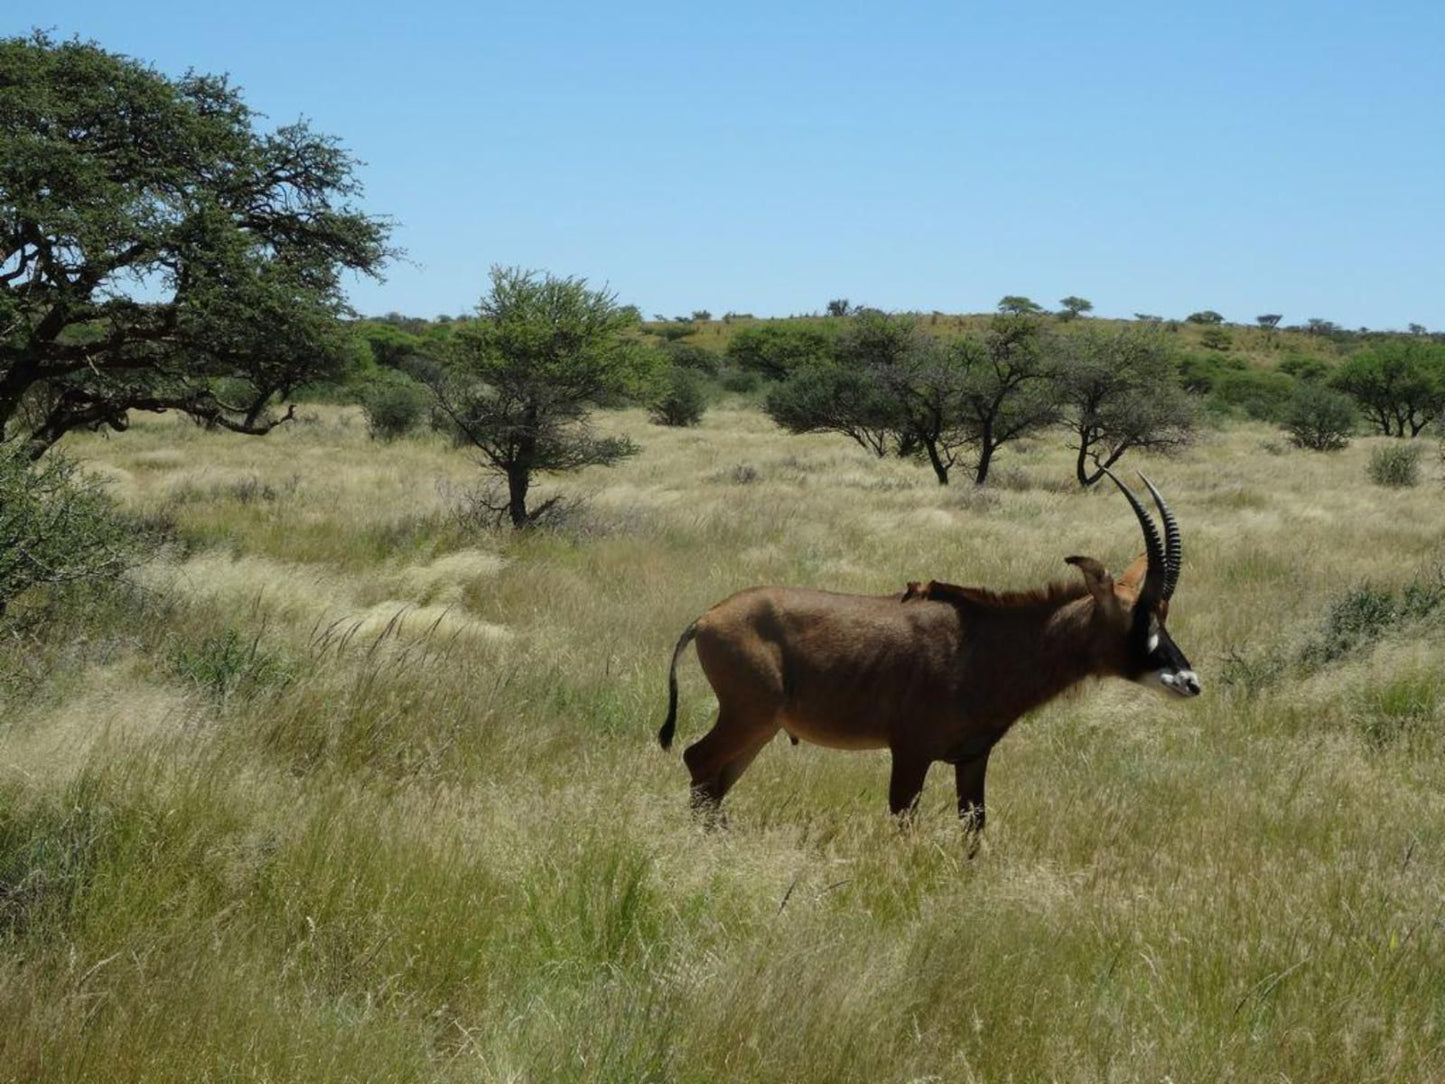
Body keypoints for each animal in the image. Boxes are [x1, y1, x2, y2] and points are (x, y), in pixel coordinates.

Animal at [658, 471, 1196, 838]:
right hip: (748, 717)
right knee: (698, 760)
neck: (988, 643)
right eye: (1139, 617)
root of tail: (706, 618)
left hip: (761, 729)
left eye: (1164, 613)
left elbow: (974, 826)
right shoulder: (910, 752)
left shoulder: (972, 759)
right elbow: (904, 820)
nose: (1189, 681)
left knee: (716, 780)